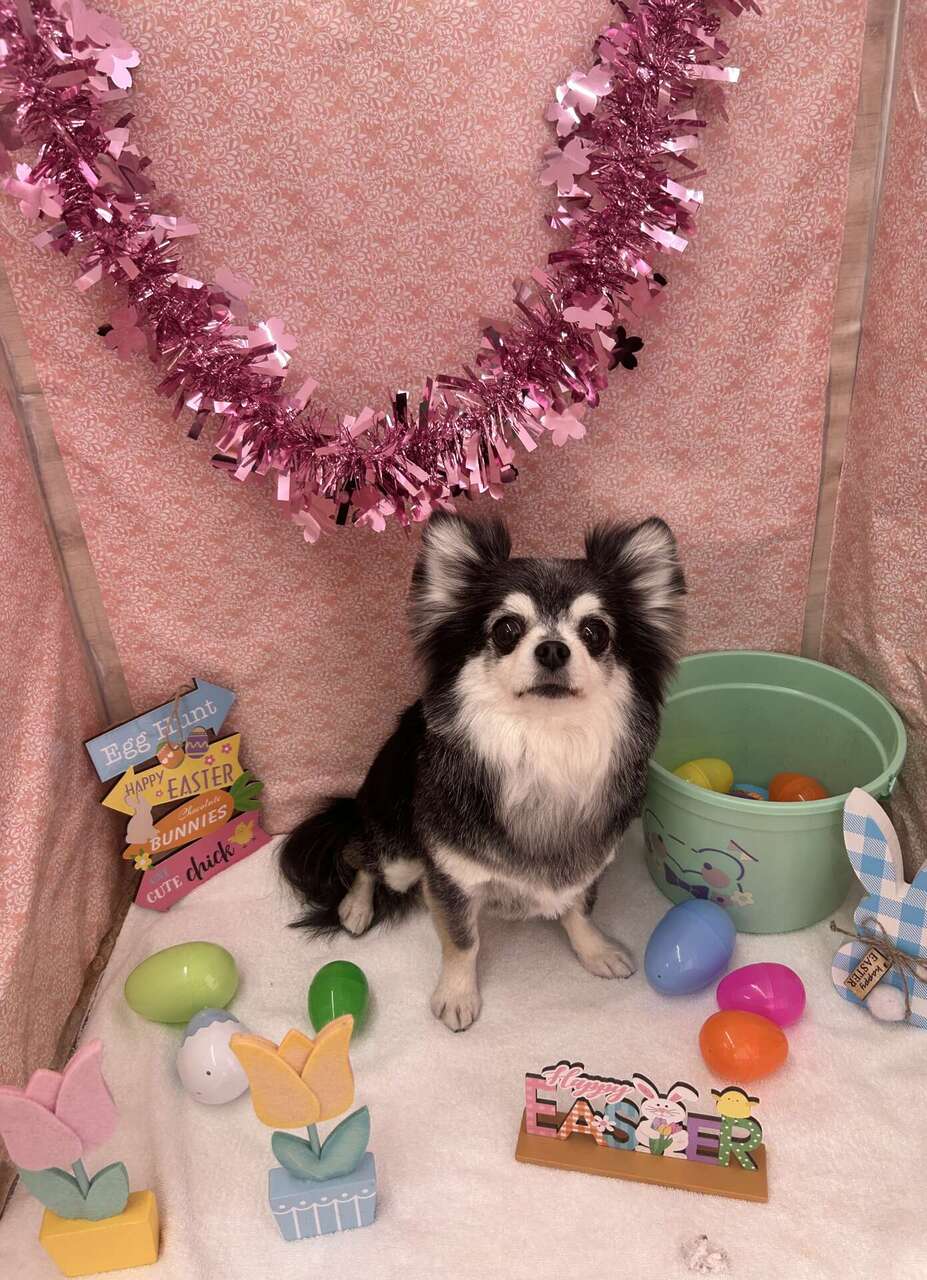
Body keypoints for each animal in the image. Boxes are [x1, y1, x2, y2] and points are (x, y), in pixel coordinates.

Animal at [280, 511, 686, 1031]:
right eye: (507, 629)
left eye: (595, 632)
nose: (552, 649)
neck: (543, 747)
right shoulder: (449, 876)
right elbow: (462, 942)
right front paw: (457, 995)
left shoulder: (587, 865)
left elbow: (578, 911)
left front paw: (595, 951)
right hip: (400, 853)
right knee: (361, 856)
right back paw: (354, 905)